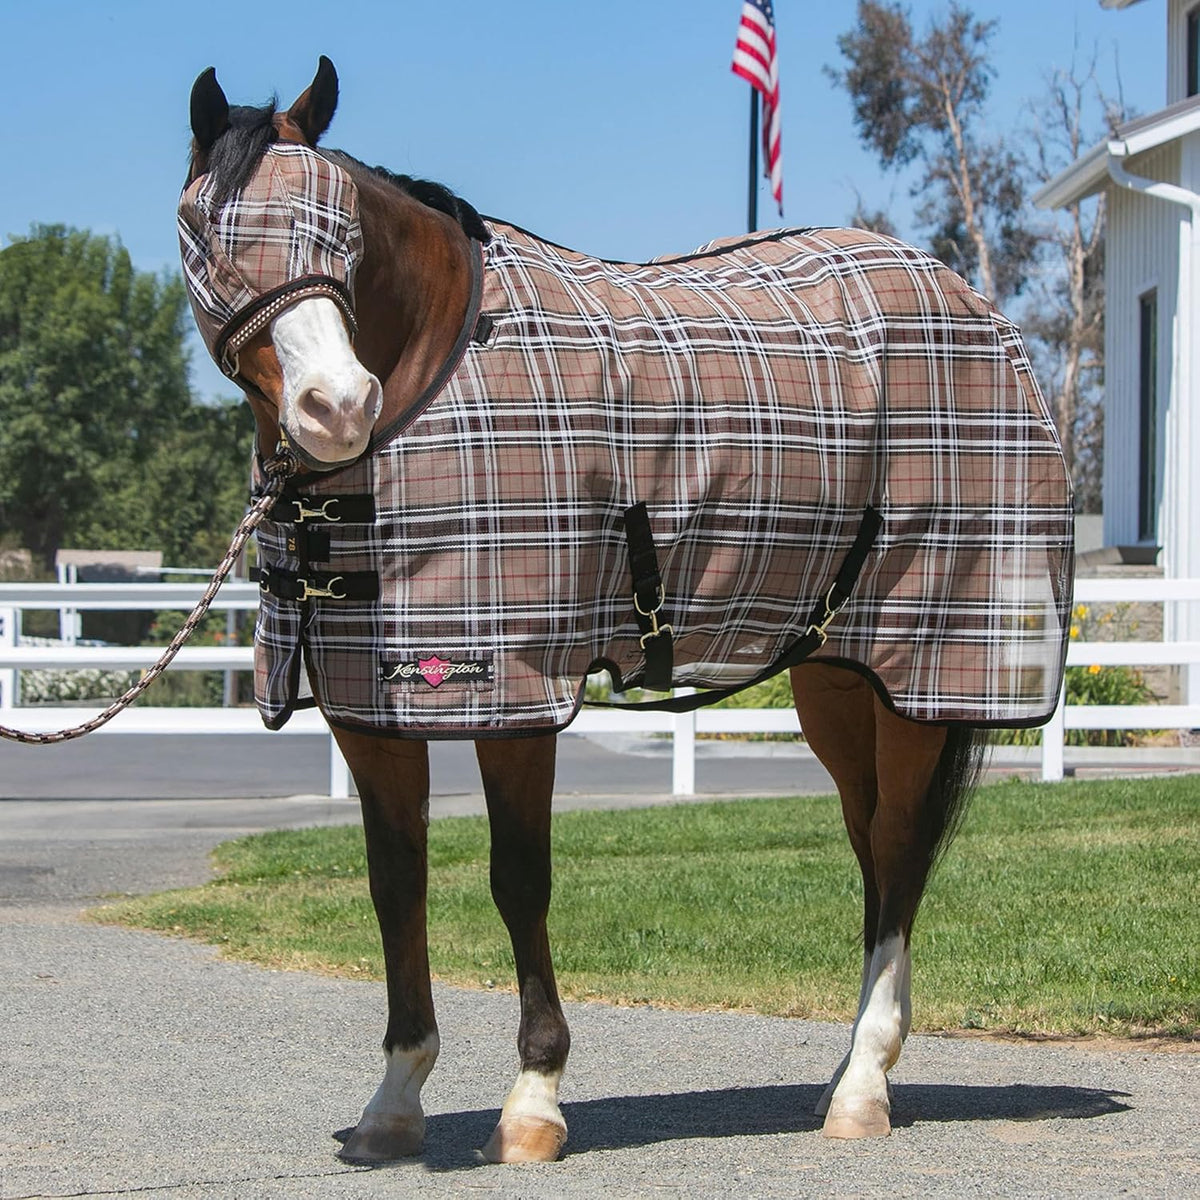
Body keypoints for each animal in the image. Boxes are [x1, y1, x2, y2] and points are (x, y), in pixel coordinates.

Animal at [178, 59, 1073, 1163]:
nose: (336, 405)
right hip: (838, 677)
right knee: (872, 848)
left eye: (342, 231)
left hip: (925, 673)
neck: (437, 377)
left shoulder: (515, 696)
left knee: (901, 853)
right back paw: (854, 1067)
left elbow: (519, 881)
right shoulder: (369, 707)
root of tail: (971, 303)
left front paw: (533, 1102)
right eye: (206, 231)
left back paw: (862, 1088)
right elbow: (397, 886)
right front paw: (395, 1102)